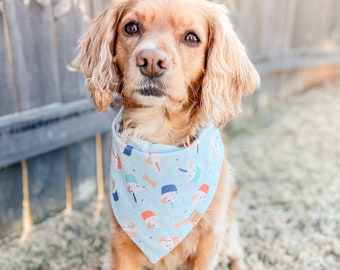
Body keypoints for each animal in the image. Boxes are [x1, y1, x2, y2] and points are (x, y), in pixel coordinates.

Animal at [73, 0, 258, 268]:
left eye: (192, 38)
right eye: (131, 27)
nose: (151, 60)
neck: (158, 137)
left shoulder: (209, 239)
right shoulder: (121, 242)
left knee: (237, 253)